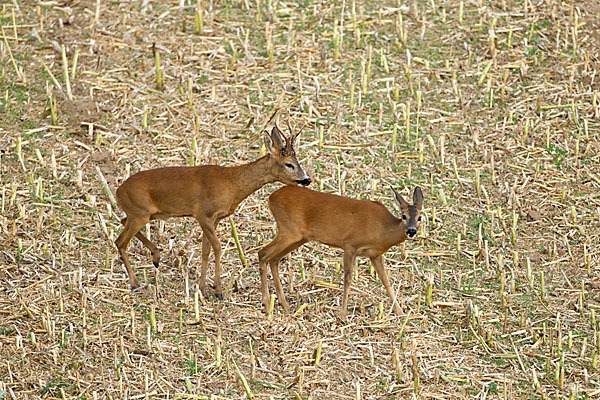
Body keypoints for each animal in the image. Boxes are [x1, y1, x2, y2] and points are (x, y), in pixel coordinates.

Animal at [113, 123, 312, 298]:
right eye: (288, 164)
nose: (307, 179)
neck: (232, 184)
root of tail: (118, 191)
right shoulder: (203, 213)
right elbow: (217, 247)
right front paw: (218, 290)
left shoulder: (215, 218)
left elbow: (205, 250)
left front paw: (202, 289)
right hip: (140, 213)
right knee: (120, 241)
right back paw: (135, 282)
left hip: (143, 214)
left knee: (123, 223)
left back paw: (155, 256)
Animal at [256, 184, 422, 318]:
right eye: (404, 216)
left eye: (420, 217)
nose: (411, 231)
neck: (383, 229)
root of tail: (271, 197)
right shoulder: (350, 244)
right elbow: (347, 279)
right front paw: (343, 315)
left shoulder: (375, 254)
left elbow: (386, 280)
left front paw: (400, 312)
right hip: (289, 231)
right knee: (263, 254)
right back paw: (266, 303)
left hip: (299, 237)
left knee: (274, 259)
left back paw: (284, 303)